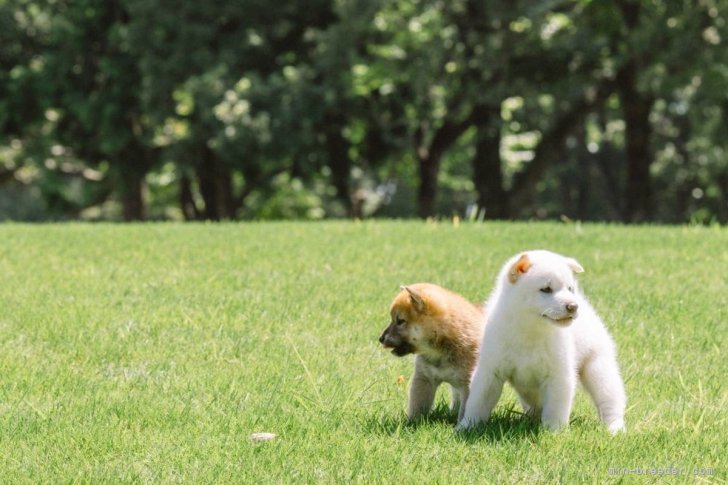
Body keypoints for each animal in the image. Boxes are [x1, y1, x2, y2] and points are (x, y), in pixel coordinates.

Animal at [378, 284, 486, 420]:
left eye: (400, 321)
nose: (380, 338)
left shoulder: (468, 384)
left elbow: (465, 411)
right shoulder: (424, 379)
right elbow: (417, 407)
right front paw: (411, 423)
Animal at [460, 250, 624, 432]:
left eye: (570, 288)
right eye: (546, 289)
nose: (573, 306)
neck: (531, 331)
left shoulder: (558, 375)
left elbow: (555, 409)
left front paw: (553, 432)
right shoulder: (490, 371)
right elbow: (478, 402)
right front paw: (467, 426)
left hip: (598, 367)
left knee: (610, 400)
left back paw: (615, 427)